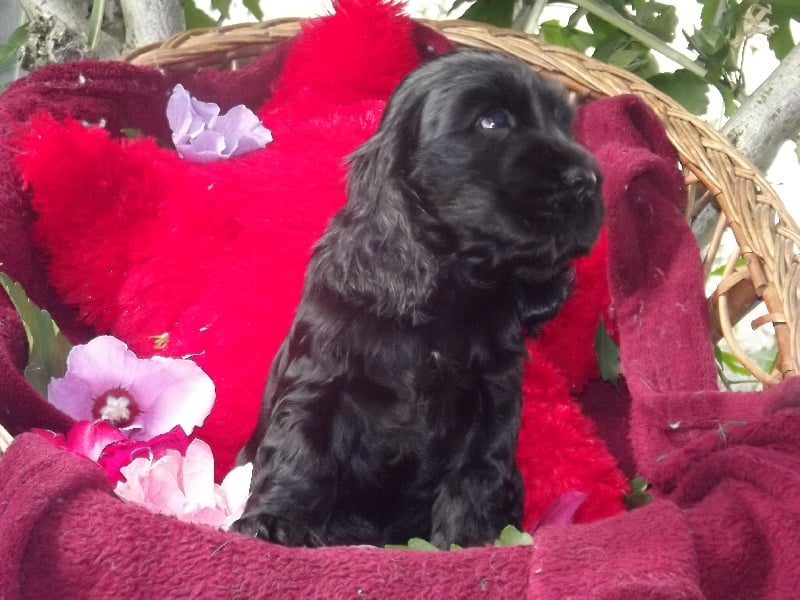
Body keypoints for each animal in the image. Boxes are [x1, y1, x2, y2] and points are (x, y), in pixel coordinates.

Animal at [232, 49, 603, 548]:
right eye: (492, 121)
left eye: (564, 124)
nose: (589, 180)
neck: (447, 288)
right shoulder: (322, 377)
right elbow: (301, 451)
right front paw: (273, 523)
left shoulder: (492, 398)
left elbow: (477, 474)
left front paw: (468, 543)